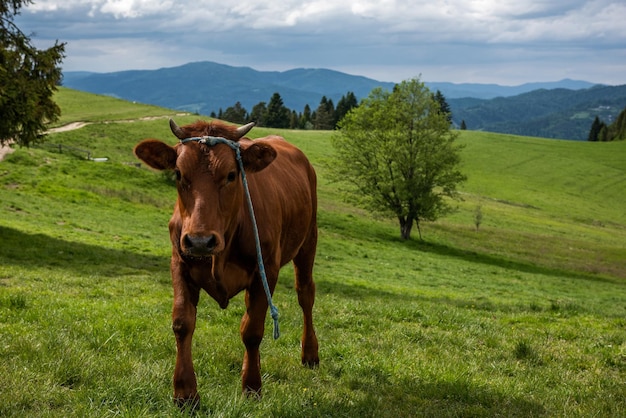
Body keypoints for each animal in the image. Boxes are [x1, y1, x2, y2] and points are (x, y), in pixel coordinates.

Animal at [132, 118, 316, 404]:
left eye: (231, 175)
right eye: (178, 174)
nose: (200, 241)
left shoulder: (266, 270)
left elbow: (252, 330)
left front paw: (252, 387)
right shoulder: (179, 263)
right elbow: (182, 323)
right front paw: (185, 392)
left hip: (308, 241)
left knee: (305, 294)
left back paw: (310, 354)